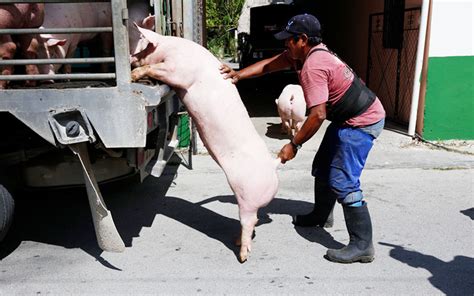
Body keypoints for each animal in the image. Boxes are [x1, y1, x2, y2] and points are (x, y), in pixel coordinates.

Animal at [130, 23, 280, 264]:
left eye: (142, 47)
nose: (130, 59)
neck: (170, 46)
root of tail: (273, 167)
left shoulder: (177, 69)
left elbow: (156, 68)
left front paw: (135, 73)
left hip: (248, 194)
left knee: (249, 220)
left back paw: (242, 255)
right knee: (254, 221)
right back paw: (237, 242)